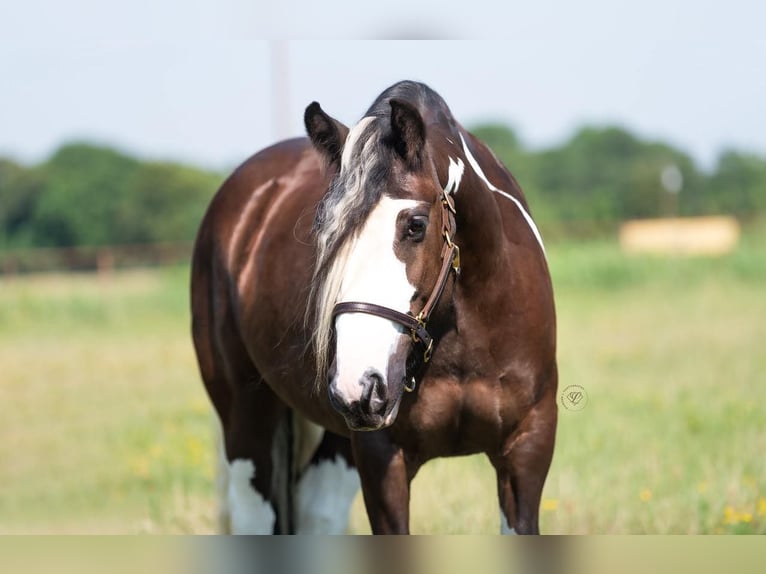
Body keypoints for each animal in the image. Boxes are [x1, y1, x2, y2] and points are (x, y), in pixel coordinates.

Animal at [191, 80, 560, 536]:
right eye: (325, 233)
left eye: (415, 225)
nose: (359, 385)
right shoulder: (381, 456)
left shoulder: (527, 448)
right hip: (246, 416)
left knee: (319, 512)